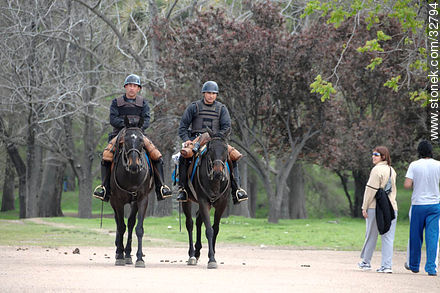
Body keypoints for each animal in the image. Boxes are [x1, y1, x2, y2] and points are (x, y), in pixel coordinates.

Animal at [109, 116, 153, 266]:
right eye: (126, 140)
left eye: (141, 140)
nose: (134, 165)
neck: (132, 175)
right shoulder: (117, 201)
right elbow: (121, 226)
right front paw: (120, 255)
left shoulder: (142, 200)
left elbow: (137, 228)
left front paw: (139, 258)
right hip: (113, 201)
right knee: (118, 223)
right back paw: (119, 252)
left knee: (129, 223)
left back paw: (128, 254)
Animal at [181, 129, 230, 268]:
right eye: (211, 149)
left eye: (225, 148)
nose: (218, 173)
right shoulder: (203, 201)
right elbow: (209, 230)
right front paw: (211, 259)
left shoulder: (222, 204)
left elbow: (215, 229)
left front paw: (212, 256)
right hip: (187, 200)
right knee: (190, 224)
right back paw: (192, 255)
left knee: (198, 220)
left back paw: (197, 251)